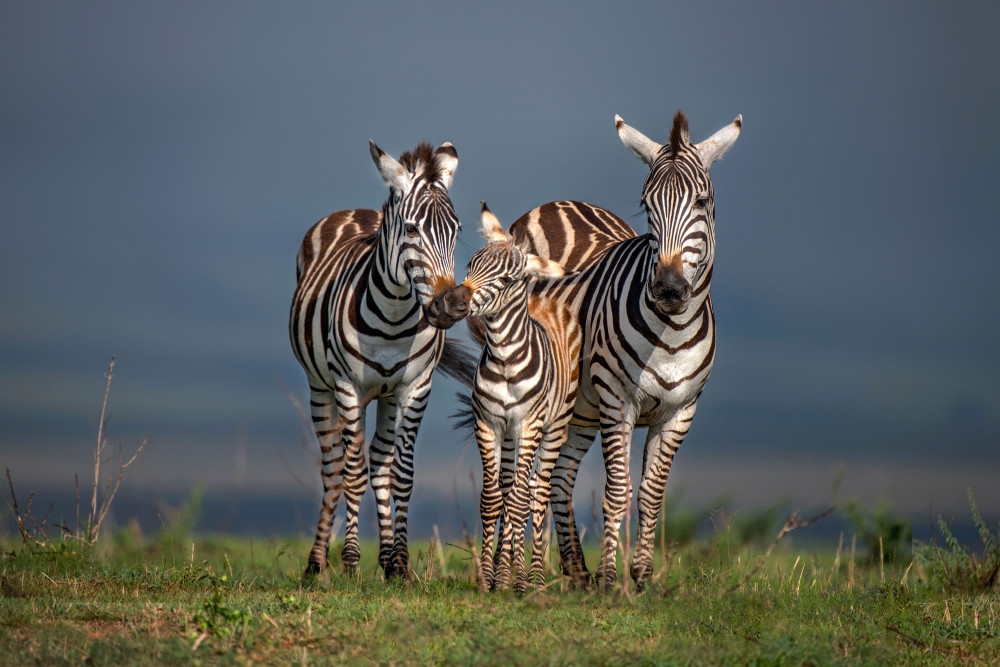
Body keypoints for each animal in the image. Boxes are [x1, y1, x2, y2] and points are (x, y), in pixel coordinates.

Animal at [290, 140, 476, 580]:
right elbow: (352, 474)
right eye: (411, 229)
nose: (453, 305)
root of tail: (354, 210)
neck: (392, 320)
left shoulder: (415, 388)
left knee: (379, 462)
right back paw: (317, 564)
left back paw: (388, 560)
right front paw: (351, 562)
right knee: (334, 468)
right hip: (320, 387)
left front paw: (401, 564)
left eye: (457, 230)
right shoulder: (348, 387)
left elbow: (400, 475)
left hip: (388, 397)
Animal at [452, 201, 584, 592]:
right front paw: (488, 578)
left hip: (553, 427)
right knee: (512, 487)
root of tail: (546, 297)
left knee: (537, 493)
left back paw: (534, 578)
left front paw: (519, 580)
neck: (505, 359)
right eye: (471, 264)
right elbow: (494, 499)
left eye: (508, 280)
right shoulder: (488, 424)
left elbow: (521, 501)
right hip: (510, 433)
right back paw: (506, 572)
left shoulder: (529, 425)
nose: (453, 300)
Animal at [512, 112, 740, 592]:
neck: (671, 335)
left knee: (559, 478)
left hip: (581, 410)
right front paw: (610, 580)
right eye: (646, 205)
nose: (669, 289)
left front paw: (643, 578)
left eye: (702, 202)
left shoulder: (681, 411)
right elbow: (617, 492)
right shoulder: (619, 402)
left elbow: (651, 495)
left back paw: (576, 571)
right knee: (529, 478)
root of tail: (558, 203)